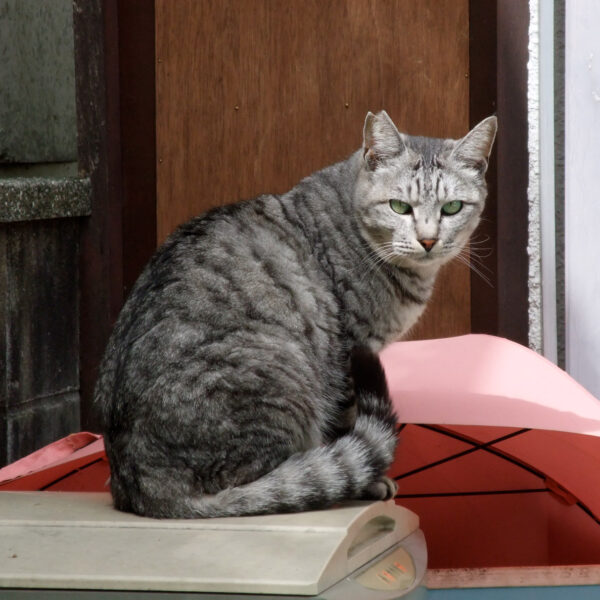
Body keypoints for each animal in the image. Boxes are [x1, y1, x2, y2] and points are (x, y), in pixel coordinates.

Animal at [94, 110, 496, 516]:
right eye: (399, 206)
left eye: (451, 208)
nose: (428, 240)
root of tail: (143, 489)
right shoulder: (349, 351)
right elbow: (347, 422)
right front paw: (369, 483)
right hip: (278, 371)